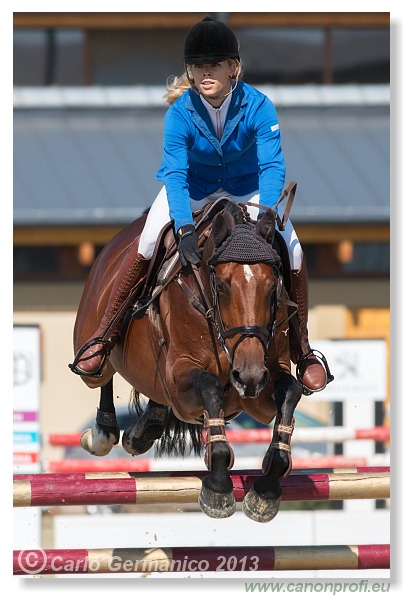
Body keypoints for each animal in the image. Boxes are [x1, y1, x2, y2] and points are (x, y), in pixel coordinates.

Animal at [72, 200, 304, 520]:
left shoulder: (259, 395)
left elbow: (290, 390)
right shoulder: (180, 380)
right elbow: (209, 386)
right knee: (101, 373)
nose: (249, 376)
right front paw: (218, 487)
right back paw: (103, 430)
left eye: (273, 289)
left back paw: (145, 429)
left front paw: (266, 489)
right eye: (222, 286)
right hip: (92, 344)